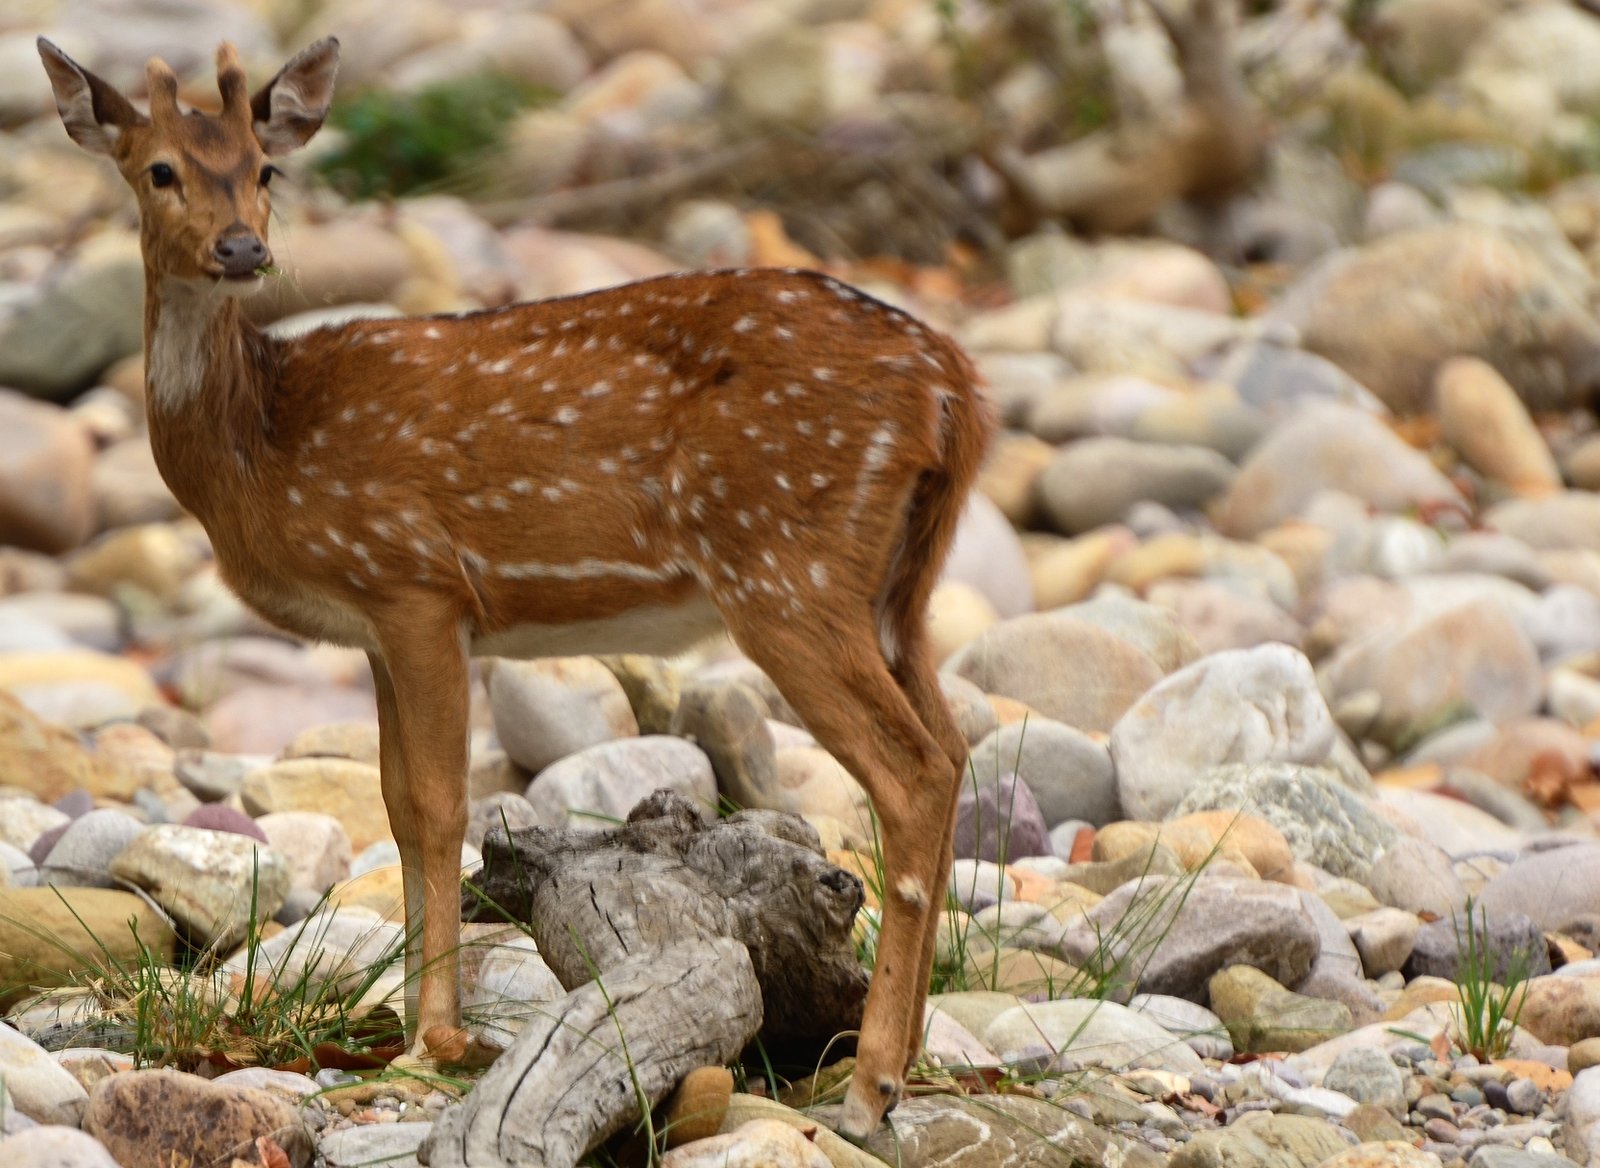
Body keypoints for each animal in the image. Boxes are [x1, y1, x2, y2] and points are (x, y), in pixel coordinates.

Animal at [37, 38, 992, 1139]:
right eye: (159, 169)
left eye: (265, 169)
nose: (241, 250)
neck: (261, 447)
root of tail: (957, 383)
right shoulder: (377, 623)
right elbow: (397, 806)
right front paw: (411, 1026)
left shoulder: (415, 579)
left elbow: (444, 803)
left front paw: (431, 1040)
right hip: (899, 585)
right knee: (951, 748)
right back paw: (908, 1061)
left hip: (785, 564)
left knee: (909, 770)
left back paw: (872, 1087)